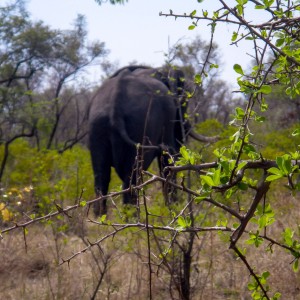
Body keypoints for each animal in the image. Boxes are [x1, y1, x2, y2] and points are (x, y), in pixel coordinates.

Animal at [88, 65, 217, 216]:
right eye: (183, 101)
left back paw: (100, 218)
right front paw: (173, 209)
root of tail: (115, 110)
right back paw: (133, 219)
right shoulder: (168, 118)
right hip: (137, 127)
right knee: (131, 179)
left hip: (97, 127)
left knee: (101, 178)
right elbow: (168, 159)